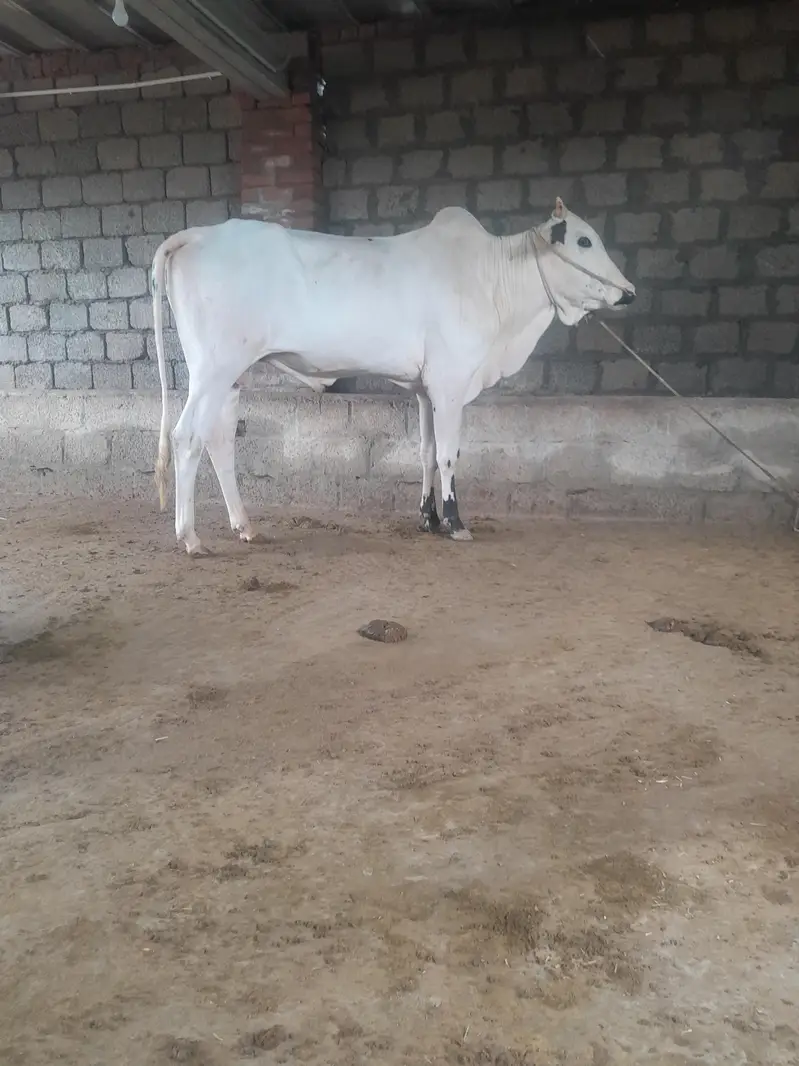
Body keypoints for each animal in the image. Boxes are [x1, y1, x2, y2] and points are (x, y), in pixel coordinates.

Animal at [151, 198, 635, 555]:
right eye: (584, 240)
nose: (628, 292)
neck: (492, 283)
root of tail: (197, 233)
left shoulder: (424, 389)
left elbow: (426, 452)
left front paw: (428, 518)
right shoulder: (451, 383)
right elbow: (450, 455)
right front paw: (455, 523)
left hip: (232, 376)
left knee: (219, 441)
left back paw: (244, 525)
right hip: (213, 369)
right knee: (186, 437)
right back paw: (190, 537)